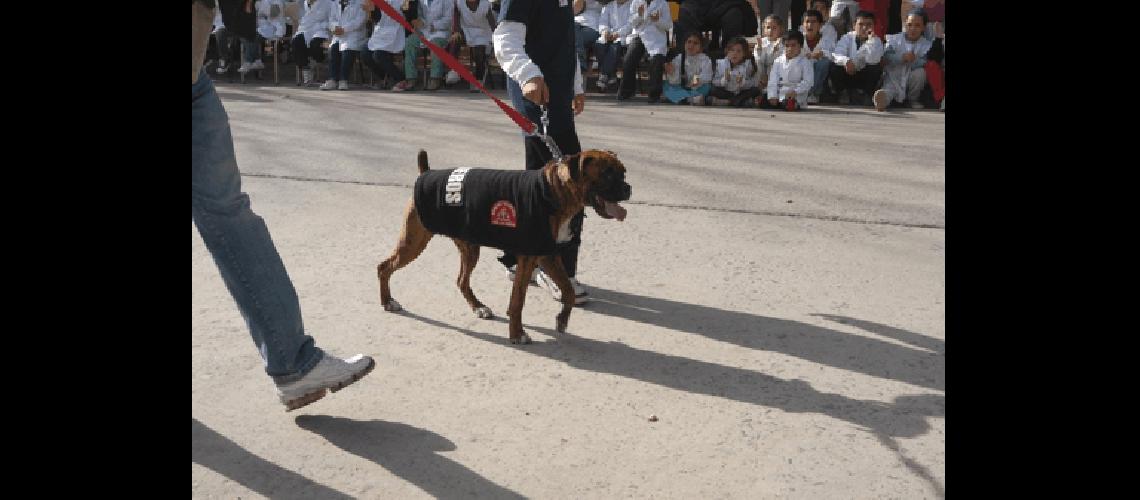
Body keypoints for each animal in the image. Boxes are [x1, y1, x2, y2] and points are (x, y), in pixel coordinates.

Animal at [376, 149, 633, 343]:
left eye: (623, 172)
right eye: (607, 174)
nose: (628, 188)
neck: (553, 192)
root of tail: (425, 172)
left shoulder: (547, 255)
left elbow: (568, 291)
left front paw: (562, 320)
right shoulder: (529, 258)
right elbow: (517, 302)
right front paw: (517, 334)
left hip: (469, 247)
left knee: (461, 280)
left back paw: (479, 307)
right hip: (414, 243)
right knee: (384, 267)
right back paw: (388, 302)